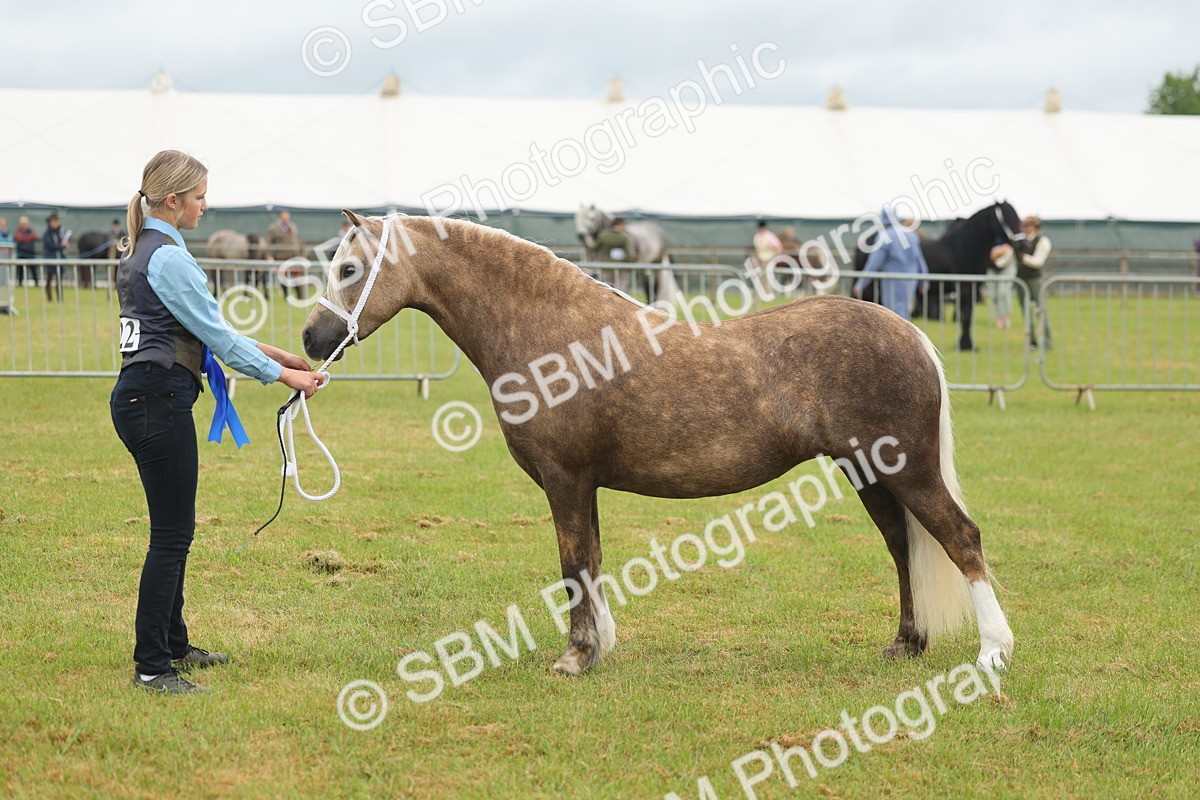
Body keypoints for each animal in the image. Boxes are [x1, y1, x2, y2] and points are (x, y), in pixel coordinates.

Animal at [301, 211, 1014, 678]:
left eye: (349, 267)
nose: (311, 339)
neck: (553, 334)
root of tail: (909, 332)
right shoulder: (581, 484)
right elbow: (589, 561)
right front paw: (598, 648)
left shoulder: (565, 478)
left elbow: (572, 563)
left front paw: (574, 658)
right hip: (868, 473)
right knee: (902, 546)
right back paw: (907, 643)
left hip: (909, 469)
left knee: (960, 538)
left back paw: (993, 652)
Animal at [853, 202, 1026, 351]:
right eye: (1005, 217)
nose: (1022, 245)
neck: (963, 249)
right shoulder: (964, 289)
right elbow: (965, 317)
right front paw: (965, 345)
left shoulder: (970, 289)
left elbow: (967, 316)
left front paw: (968, 345)